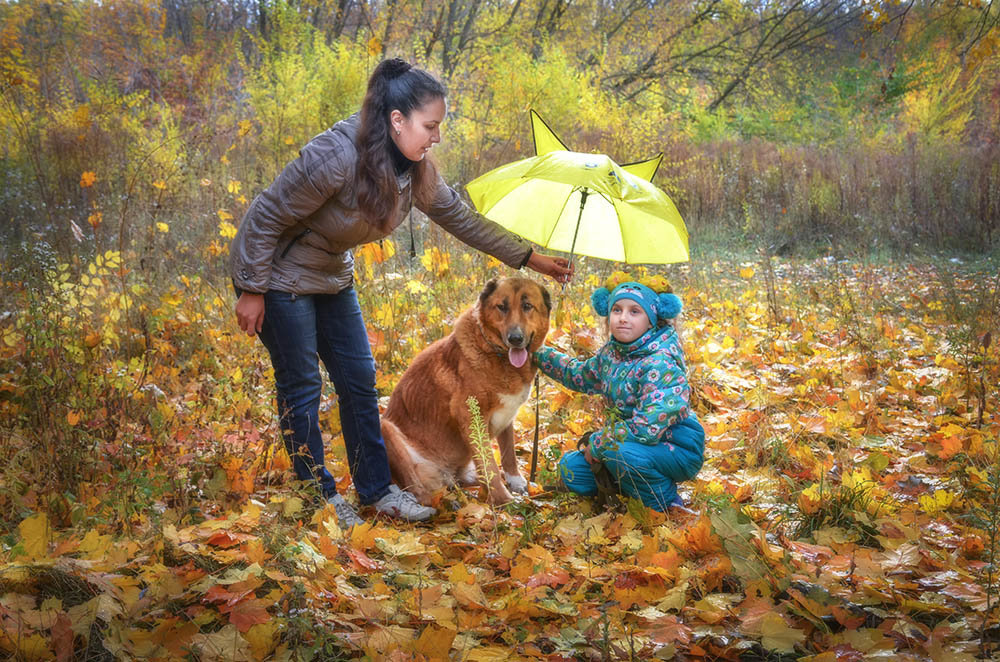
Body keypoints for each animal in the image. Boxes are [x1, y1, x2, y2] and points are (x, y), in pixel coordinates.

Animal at [382, 278, 556, 506]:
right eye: (502, 307)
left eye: (527, 306)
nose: (515, 339)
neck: (495, 353)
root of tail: (444, 476)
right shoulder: (470, 417)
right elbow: (489, 464)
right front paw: (505, 501)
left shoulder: (507, 418)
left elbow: (508, 454)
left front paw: (516, 482)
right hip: (385, 429)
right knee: (419, 491)